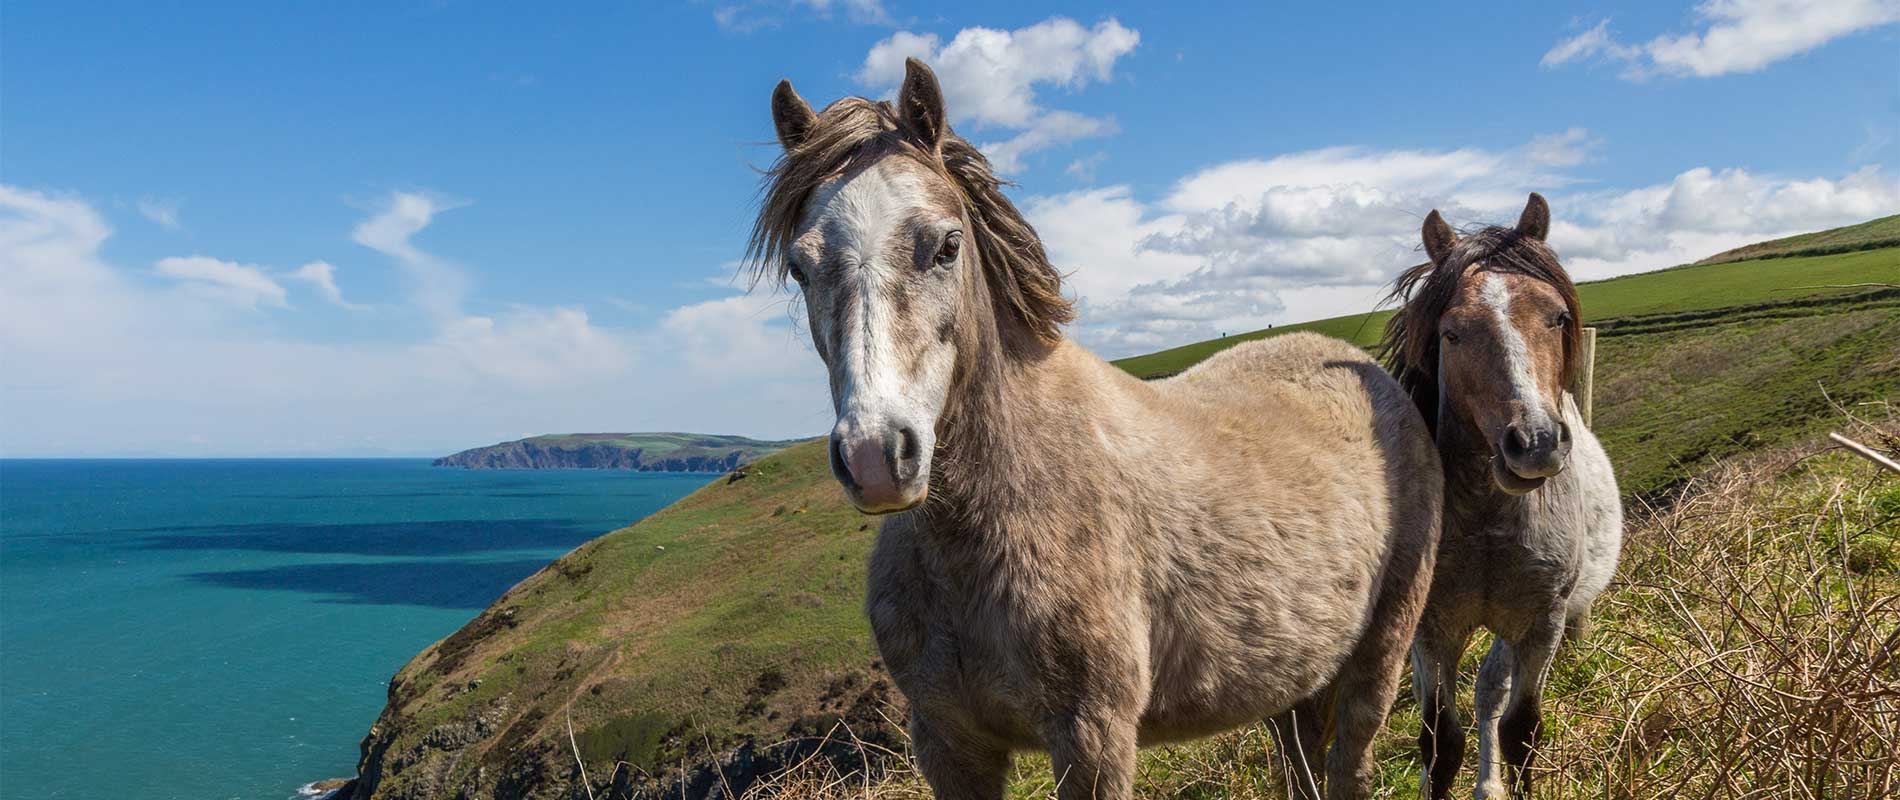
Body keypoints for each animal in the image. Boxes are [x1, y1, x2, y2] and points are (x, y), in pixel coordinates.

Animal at [752, 59, 1436, 794]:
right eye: (800, 267)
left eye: (946, 246)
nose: (877, 456)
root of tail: (1367, 372)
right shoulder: (950, 743)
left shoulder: (1092, 738)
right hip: (1290, 680)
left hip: (1381, 654)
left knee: (1352, 760)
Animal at [1383, 192, 1618, 798]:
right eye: (1451, 333)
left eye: (1558, 317)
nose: (1534, 444)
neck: (1488, 522)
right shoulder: (1433, 630)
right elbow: (1440, 743)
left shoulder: (1541, 624)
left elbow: (1520, 731)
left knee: (1491, 689)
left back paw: (1489, 785)